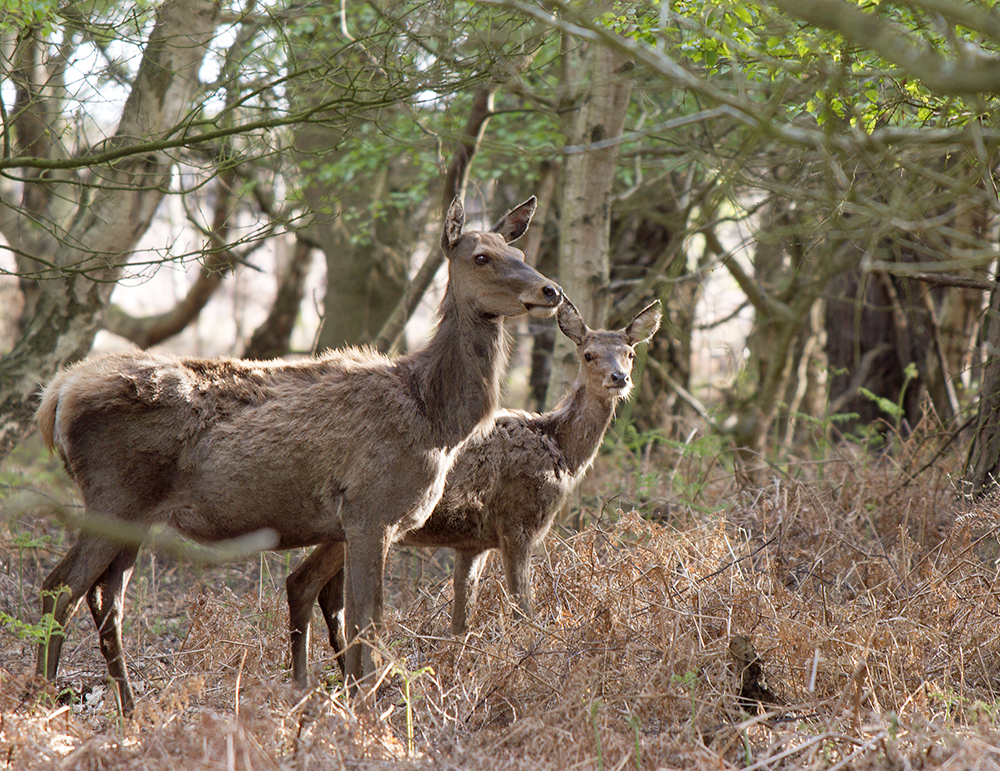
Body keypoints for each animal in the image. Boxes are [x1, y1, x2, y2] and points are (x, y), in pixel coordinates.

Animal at [33, 195, 564, 712]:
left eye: (519, 251)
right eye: (482, 257)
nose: (550, 291)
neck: (437, 418)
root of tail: (55, 396)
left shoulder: (356, 521)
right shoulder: (371, 512)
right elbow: (367, 622)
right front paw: (367, 715)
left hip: (134, 516)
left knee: (107, 598)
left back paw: (128, 708)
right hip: (115, 495)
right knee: (60, 587)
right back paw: (41, 699)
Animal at [288, 298, 664, 688]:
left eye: (630, 352)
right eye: (589, 354)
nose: (619, 378)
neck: (559, 450)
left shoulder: (473, 541)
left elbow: (460, 622)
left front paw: (457, 671)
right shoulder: (517, 523)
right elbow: (523, 609)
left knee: (314, 584)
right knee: (308, 582)